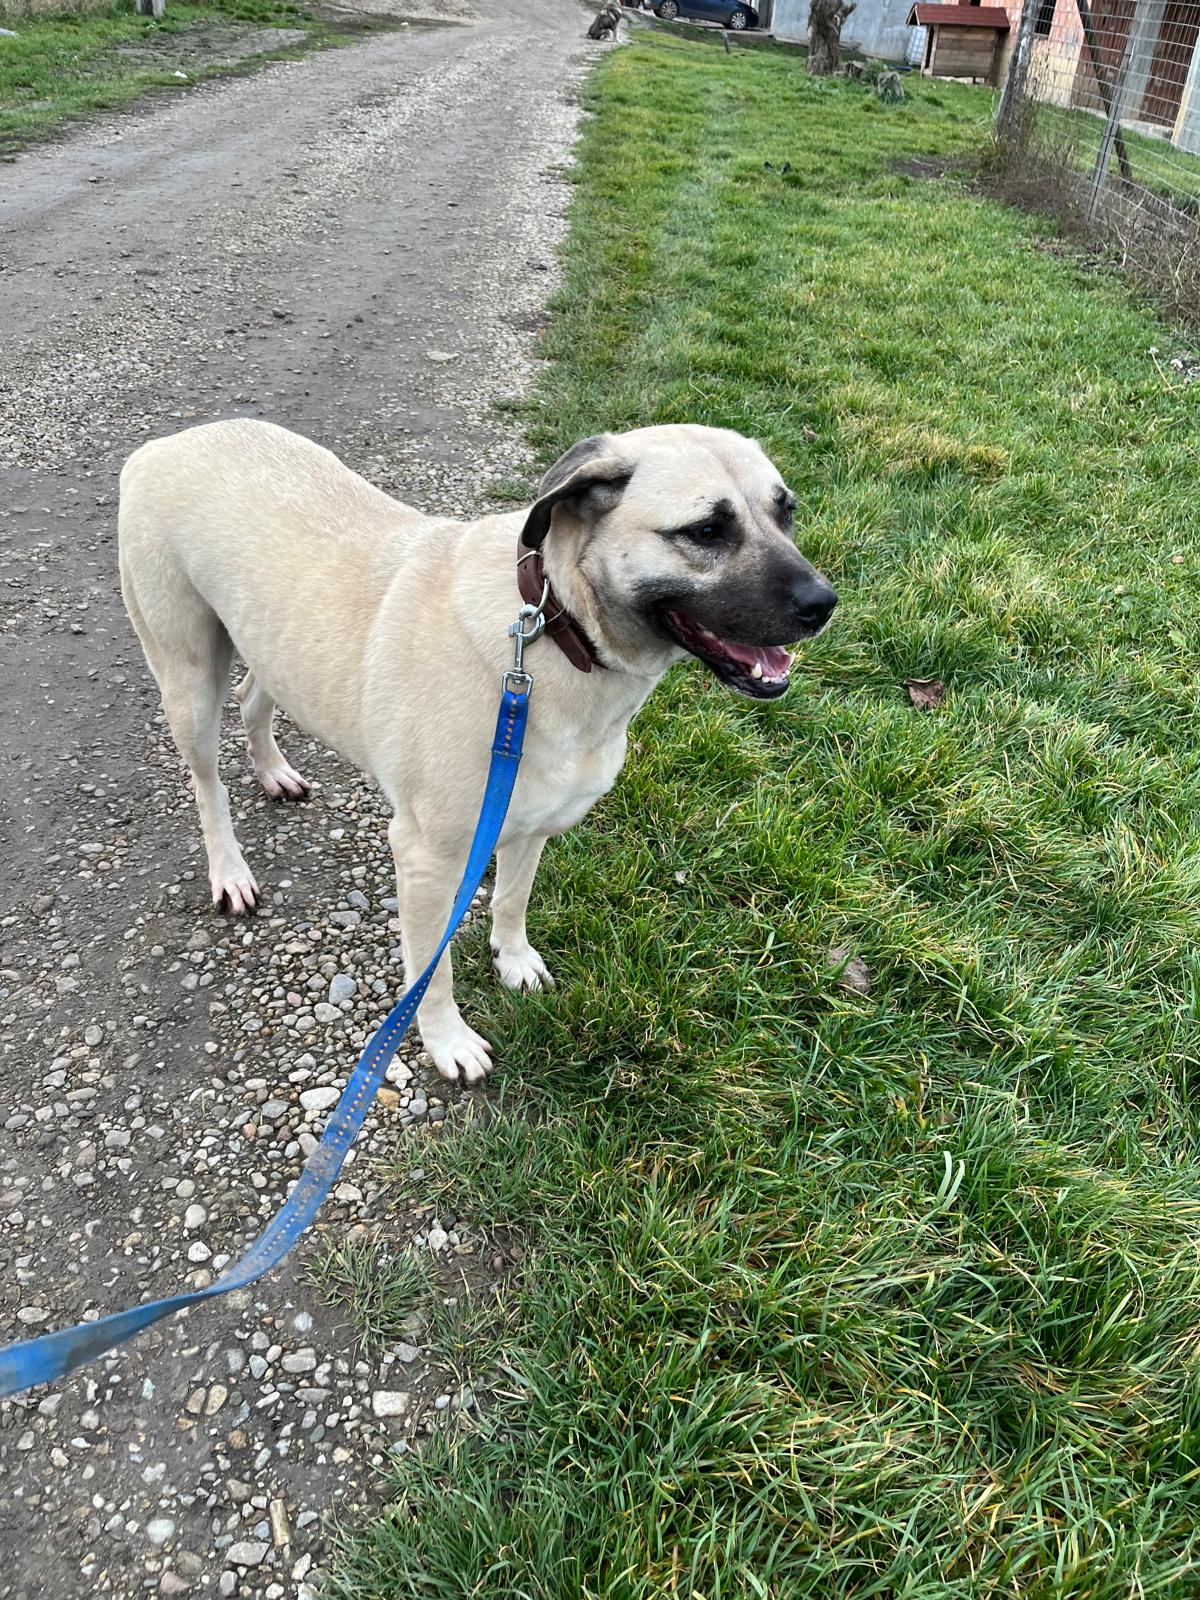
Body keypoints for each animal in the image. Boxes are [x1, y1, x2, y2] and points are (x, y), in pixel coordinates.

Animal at [118, 420, 836, 1082]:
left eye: (786, 512)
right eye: (707, 531)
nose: (824, 604)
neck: (558, 635)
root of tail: (167, 443)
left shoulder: (532, 824)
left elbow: (513, 900)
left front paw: (513, 961)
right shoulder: (426, 859)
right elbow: (429, 973)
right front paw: (447, 1042)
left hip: (272, 642)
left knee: (254, 698)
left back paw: (273, 772)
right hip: (187, 677)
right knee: (207, 784)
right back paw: (230, 871)